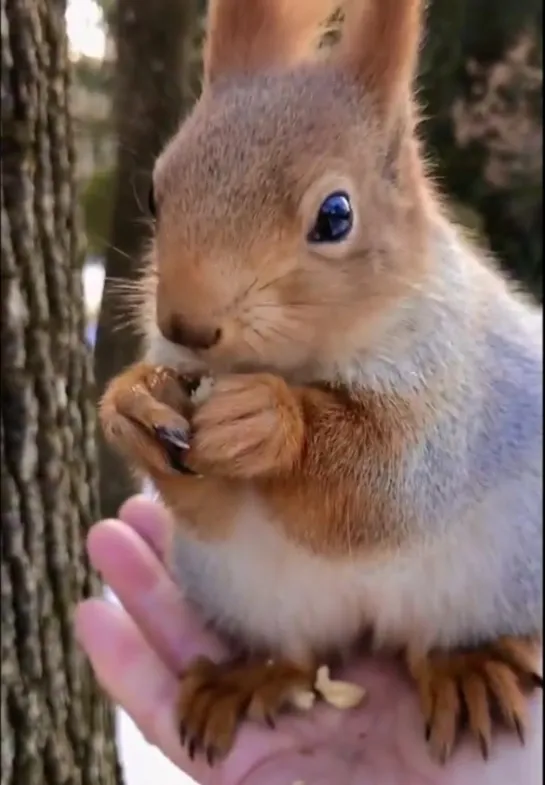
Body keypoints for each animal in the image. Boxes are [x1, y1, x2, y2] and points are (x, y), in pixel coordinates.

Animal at [100, 0, 540, 764]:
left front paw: (271, 423)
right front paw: (132, 403)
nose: (186, 323)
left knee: (436, 640)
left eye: (335, 215)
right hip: (246, 591)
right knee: (298, 655)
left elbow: (385, 482)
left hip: (499, 573)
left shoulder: (452, 390)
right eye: (156, 192)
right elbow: (211, 508)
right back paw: (250, 675)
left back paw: (469, 665)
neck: (299, 364)